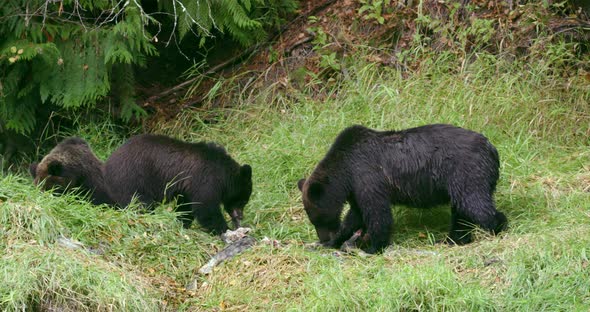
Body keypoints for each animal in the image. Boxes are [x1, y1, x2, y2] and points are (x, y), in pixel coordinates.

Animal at [104, 134, 252, 234]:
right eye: (244, 200)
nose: (240, 216)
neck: (223, 175)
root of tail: (107, 165)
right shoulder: (205, 180)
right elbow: (206, 207)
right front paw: (224, 229)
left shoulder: (187, 189)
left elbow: (186, 206)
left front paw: (183, 223)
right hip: (132, 180)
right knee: (140, 204)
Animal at [300, 123, 508, 254]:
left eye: (318, 218)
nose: (322, 237)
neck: (345, 171)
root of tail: (492, 149)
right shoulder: (356, 188)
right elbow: (355, 215)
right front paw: (334, 241)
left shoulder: (367, 175)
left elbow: (377, 213)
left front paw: (373, 247)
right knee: (461, 212)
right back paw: (452, 239)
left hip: (466, 173)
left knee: (475, 204)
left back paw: (497, 228)